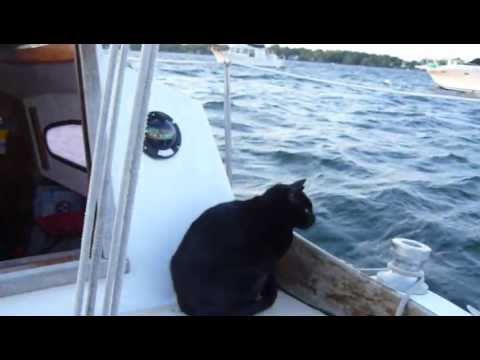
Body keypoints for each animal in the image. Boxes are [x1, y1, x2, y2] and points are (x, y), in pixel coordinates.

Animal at [169, 179, 316, 316]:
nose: (314, 219)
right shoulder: (270, 262)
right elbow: (271, 276)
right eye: (307, 210)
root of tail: (186, 305)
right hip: (251, 274)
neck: (270, 212)